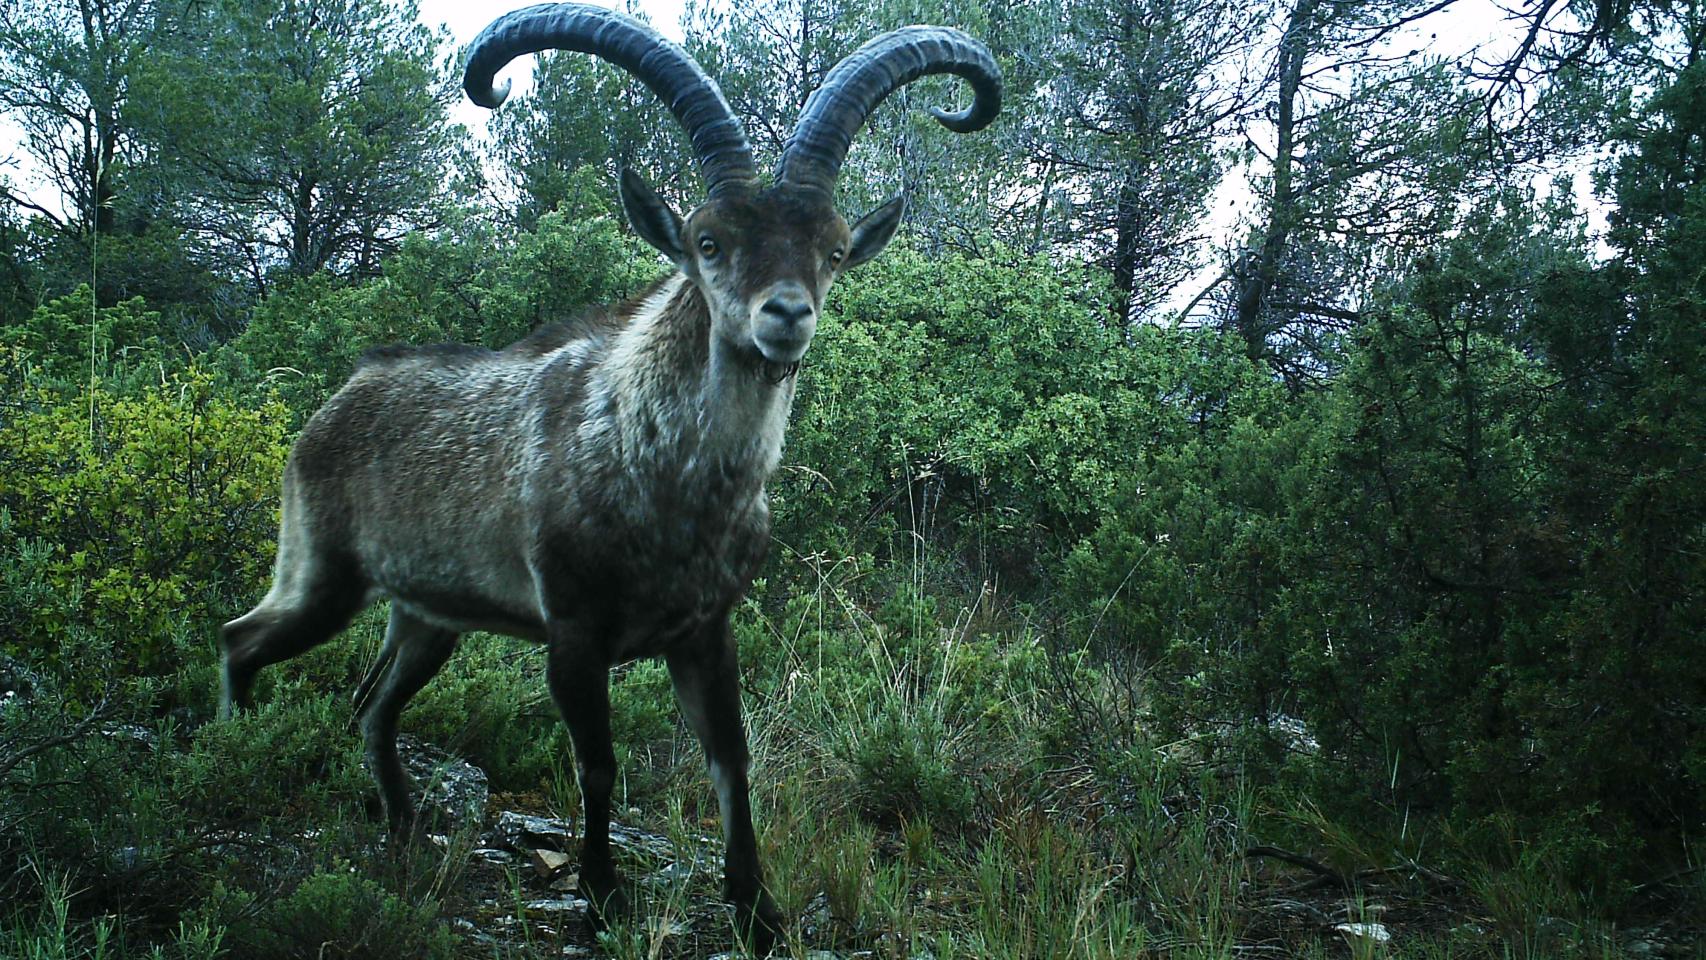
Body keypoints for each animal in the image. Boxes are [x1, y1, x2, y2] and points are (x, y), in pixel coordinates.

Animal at [217, 3, 1000, 952]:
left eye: (837, 249)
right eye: (708, 240)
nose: (785, 315)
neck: (668, 483)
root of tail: (339, 397)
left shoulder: (705, 632)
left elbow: (731, 760)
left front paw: (758, 911)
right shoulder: (574, 632)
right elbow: (597, 761)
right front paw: (598, 894)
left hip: (427, 618)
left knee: (373, 703)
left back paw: (402, 826)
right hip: (321, 573)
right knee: (242, 639)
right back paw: (228, 759)